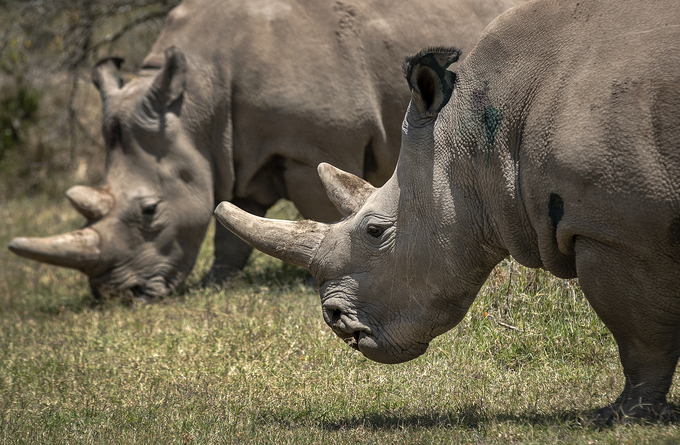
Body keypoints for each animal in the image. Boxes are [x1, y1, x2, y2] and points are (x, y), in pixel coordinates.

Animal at [7, 0, 516, 299]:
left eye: (149, 211)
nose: (118, 295)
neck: (196, 101)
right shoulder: (229, 150)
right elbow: (231, 219)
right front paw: (217, 284)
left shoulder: (313, 144)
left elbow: (318, 207)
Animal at [214, 0, 680, 422]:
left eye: (374, 231)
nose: (334, 320)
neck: (484, 144)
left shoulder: (618, 231)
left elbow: (638, 331)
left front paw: (623, 415)